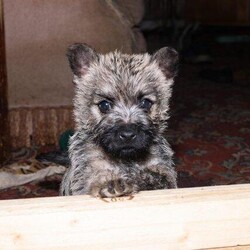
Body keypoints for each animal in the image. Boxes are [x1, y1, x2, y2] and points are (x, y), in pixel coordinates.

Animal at [59, 44, 179, 198]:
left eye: (145, 103)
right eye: (104, 105)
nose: (128, 135)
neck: (126, 160)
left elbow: (161, 177)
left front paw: (147, 178)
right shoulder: (86, 177)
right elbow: (97, 179)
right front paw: (114, 184)